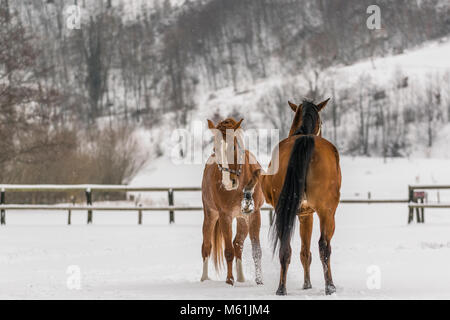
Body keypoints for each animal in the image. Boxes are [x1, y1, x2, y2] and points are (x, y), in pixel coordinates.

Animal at [200, 117, 264, 284]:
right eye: (215, 150)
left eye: (234, 148)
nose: (228, 183)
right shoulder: (225, 216)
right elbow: (228, 251)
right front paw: (229, 280)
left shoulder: (254, 214)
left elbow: (256, 250)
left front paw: (259, 281)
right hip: (210, 215)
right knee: (206, 246)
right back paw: (204, 278)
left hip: (242, 219)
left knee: (238, 244)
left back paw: (241, 278)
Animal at [246, 99, 342, 296]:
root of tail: (305, 139)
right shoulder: (307, 215)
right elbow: (306, 252)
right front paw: (307, 284)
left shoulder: (303, 213)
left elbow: (303, 251)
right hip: (327, 211)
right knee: (323, 246)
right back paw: (329, 286)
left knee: (287, 248)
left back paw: (282, 288)